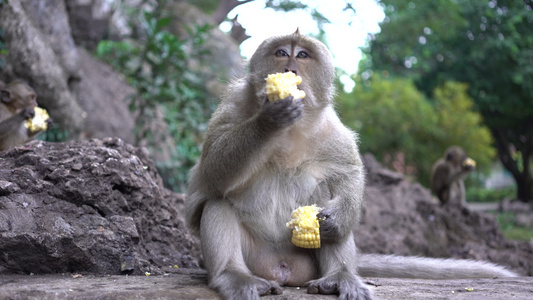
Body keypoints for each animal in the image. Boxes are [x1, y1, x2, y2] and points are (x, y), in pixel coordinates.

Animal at [185, 31, 516, 300]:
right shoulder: (234, 104)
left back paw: (339, 276)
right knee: (217, 202)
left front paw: (337, 219)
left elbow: (349, 173)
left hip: (305, 261)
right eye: (280, 52)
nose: (289, 67)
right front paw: (270, 117)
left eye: (302, 55)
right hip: (256, 257)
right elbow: (212, 172)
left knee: (326, 206)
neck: (291, 131)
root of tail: (282, 268)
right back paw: (234, 276)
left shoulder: (331, 128)